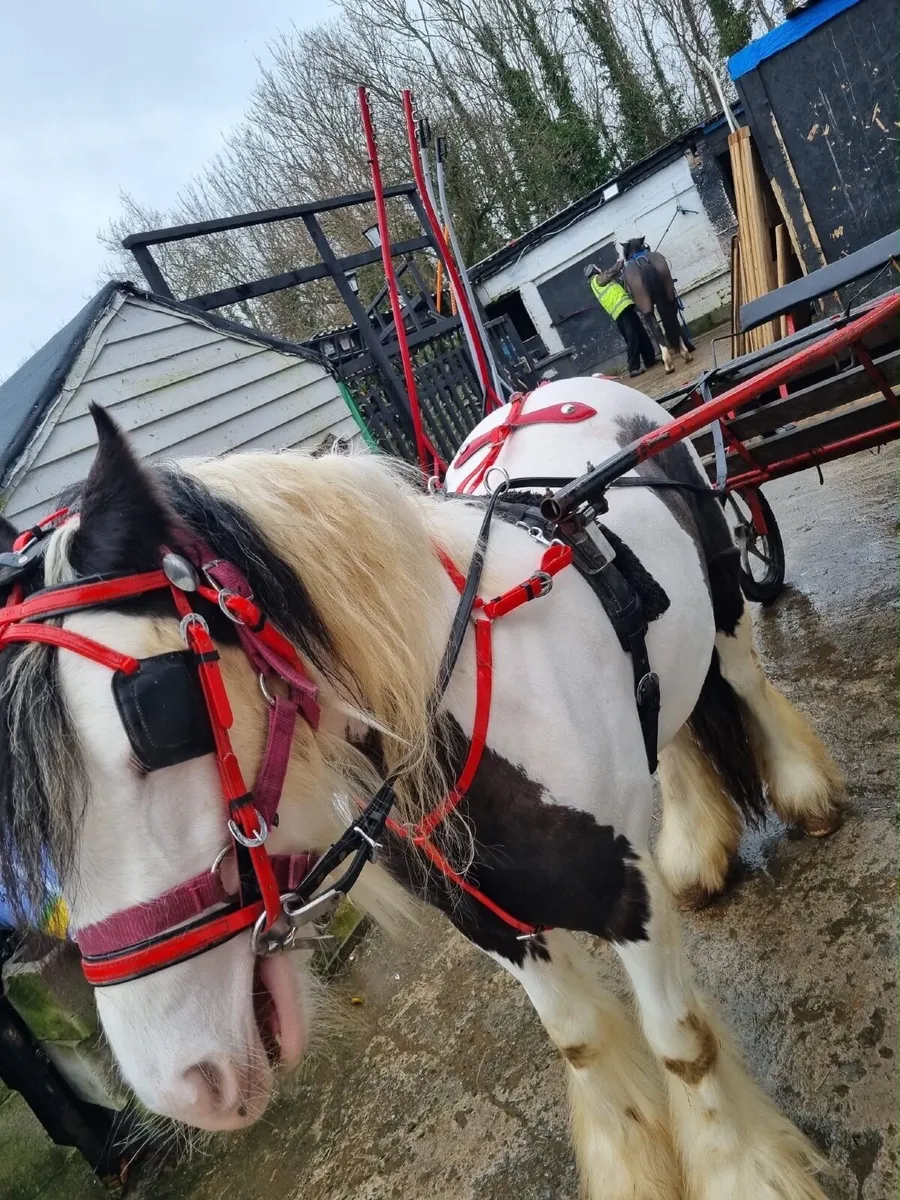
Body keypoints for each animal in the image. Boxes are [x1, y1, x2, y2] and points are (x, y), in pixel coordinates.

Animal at [0, 382, 845, 1200]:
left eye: (158, 717)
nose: (180, 1085)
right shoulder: (494, 924)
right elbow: (579, 1041)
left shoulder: (627, 905)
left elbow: (680, 1047)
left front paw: (741, 1174)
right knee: (669, 731)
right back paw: (697, 845)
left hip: (725, 597)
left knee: (743, 678)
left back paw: (804, 792)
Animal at [620, 237, 693, 375]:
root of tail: (643, 261)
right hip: (669, 296)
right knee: (672, 318)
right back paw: (684, 352)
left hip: (646, 308)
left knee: (656, 327)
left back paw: (668, 363)